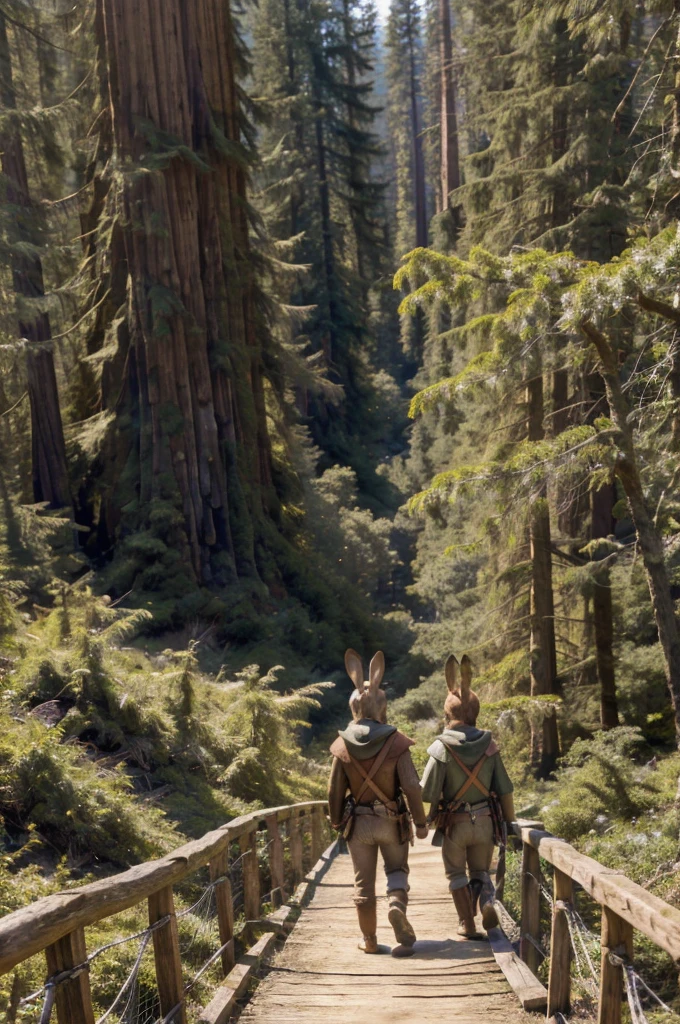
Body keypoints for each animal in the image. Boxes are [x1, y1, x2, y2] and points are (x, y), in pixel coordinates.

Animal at [327, 651, 428, 954]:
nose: (384, 715)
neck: (365, 730)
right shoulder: (403, 750)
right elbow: (411, 785)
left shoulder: (337, 757)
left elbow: (334, 788)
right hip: (394, 838)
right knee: (398, 875)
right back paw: (404, 936)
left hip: (361, 840)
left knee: (363, 891)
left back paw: (370, 943)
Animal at [419, 659, 516, 937]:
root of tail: (472, 815)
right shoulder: (496, 755)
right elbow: (504, 789)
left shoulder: (437, 754)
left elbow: (427, 791)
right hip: (482, 838)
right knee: (478, 875)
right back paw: (488, 915)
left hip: (455, 840)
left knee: (456, 878)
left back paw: (467, 928)